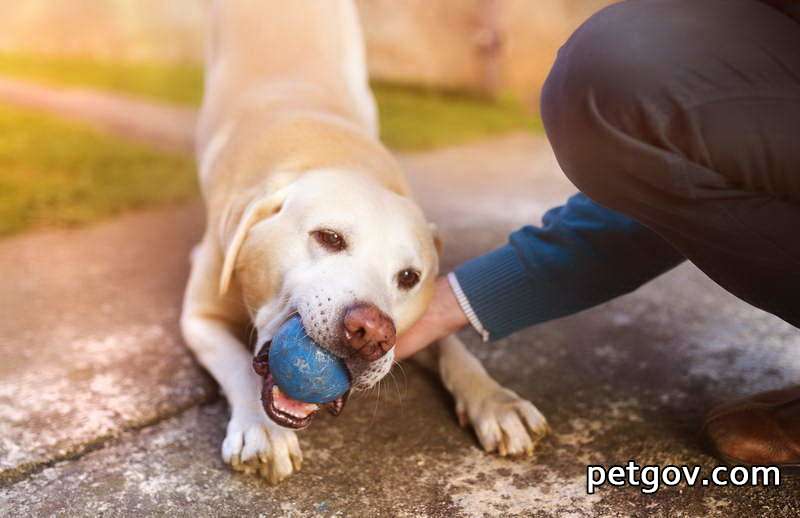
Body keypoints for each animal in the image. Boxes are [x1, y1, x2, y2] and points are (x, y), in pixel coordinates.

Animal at [179, 1, 548, 488]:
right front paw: (261, 429)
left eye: (409, 277)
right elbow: (236, 362)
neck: (330, 150)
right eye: (328, 237)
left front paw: (495, 399)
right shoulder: (198, 315)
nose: (372, 332)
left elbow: (455, 347)